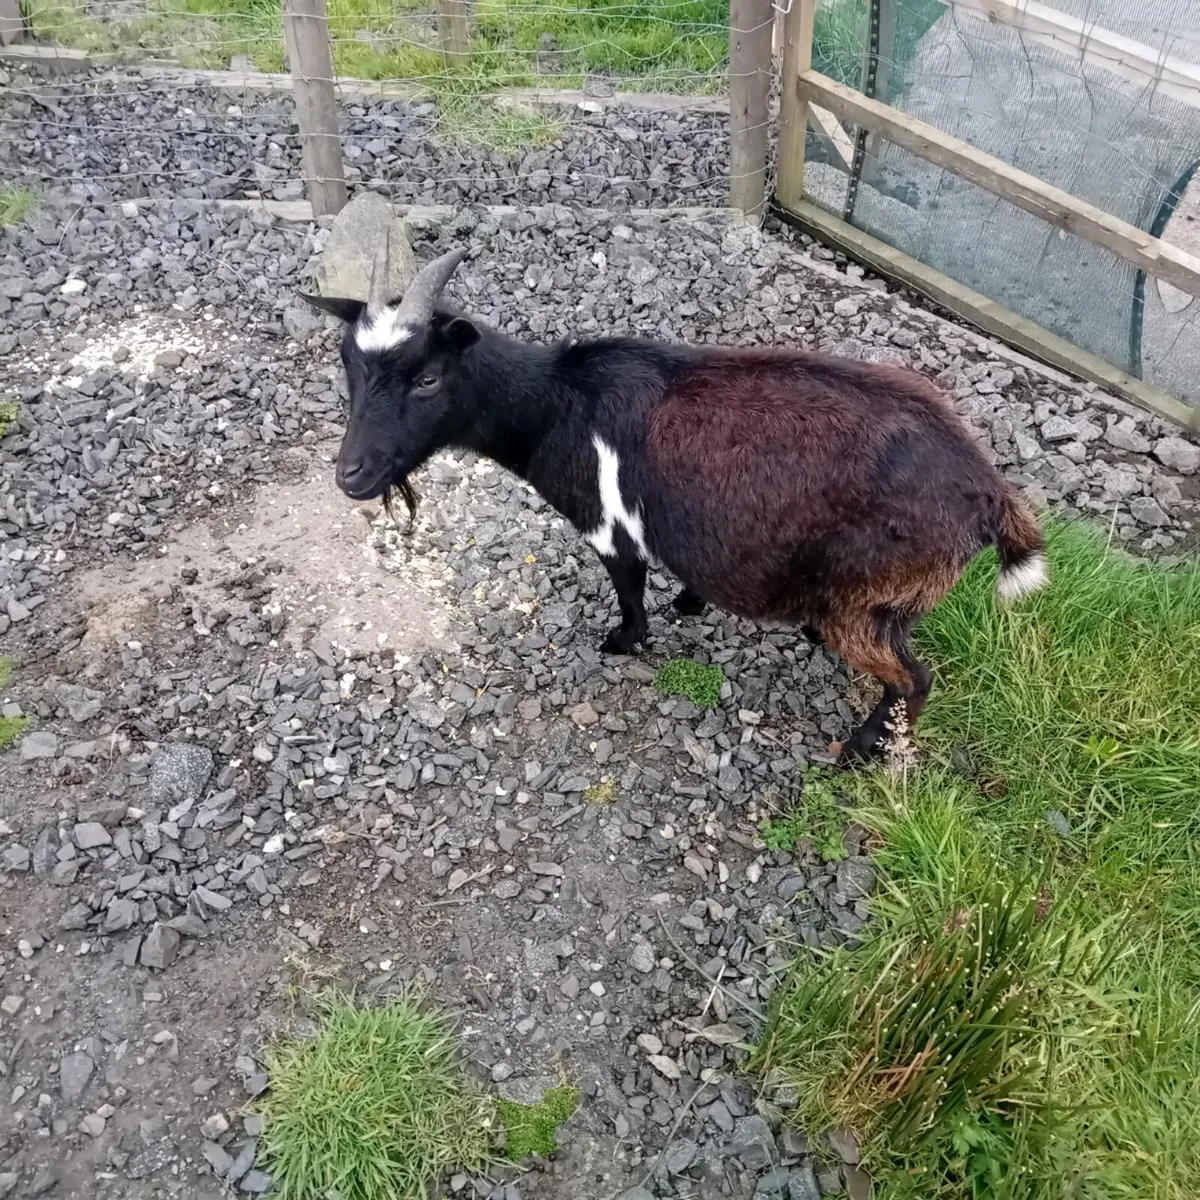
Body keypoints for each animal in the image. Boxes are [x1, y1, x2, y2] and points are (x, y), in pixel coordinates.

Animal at [301, 242, 1047, 763]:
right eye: (349, 368)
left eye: (427, 378)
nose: (351, 475)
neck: (556, 405)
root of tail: (989, 491)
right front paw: (691, 604)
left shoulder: (609, 525)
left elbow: (629, 588)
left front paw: (624, 641)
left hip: (867, 600)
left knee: (912, 680)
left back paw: (866, 753)